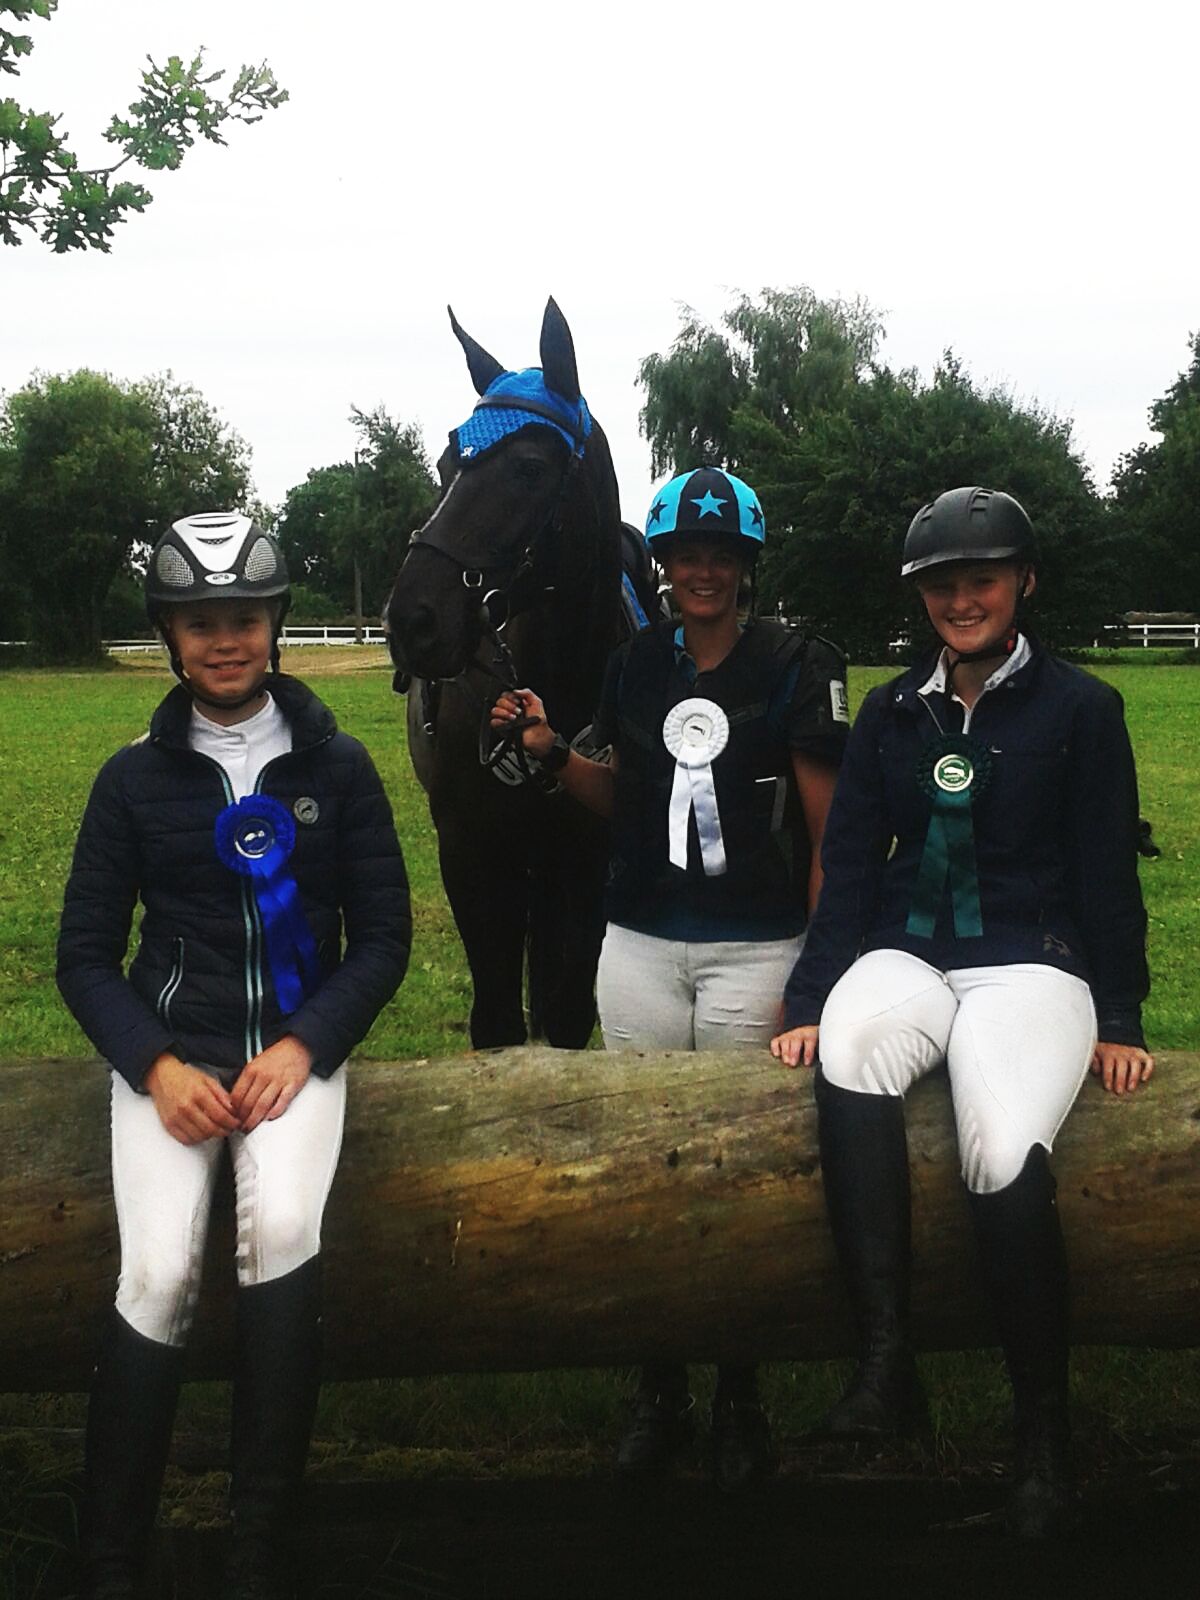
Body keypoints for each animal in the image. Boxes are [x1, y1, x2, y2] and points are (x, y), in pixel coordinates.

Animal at [386, 298, 649, 1049]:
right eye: (448, 461)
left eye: (530, 467)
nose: (413, 618)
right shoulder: (472, 855)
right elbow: (498, 1023)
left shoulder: (585, 866)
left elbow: (564, 1018)